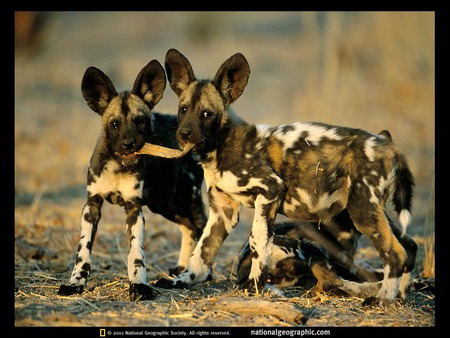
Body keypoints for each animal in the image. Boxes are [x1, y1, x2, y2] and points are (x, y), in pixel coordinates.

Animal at [57, 58, 208, 302]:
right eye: (114, 124)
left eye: (140, 121)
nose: (129, 144)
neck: (118, 166)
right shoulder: (92, 206)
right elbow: (83, 251)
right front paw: (75, 283)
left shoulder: (134, 209)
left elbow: (136, 254)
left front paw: (139, 285)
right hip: (165, 204)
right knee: (190, 228)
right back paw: (182, 268)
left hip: (183, 199)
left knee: (202, 228)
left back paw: (200, 273)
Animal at [156, 48, 416, 306]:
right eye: (183, 110)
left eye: (207, 114)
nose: (184, 134)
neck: (220, 146)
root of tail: (389, 146)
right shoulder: (223, 212)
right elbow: (201, 253)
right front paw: (183, 280)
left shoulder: (269, 190)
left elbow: (258, 241)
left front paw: (254, 286)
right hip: (368, 211)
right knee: (409, 247)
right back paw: (399, 294)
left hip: (362, 212)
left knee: (395, 255)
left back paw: (383, 298)